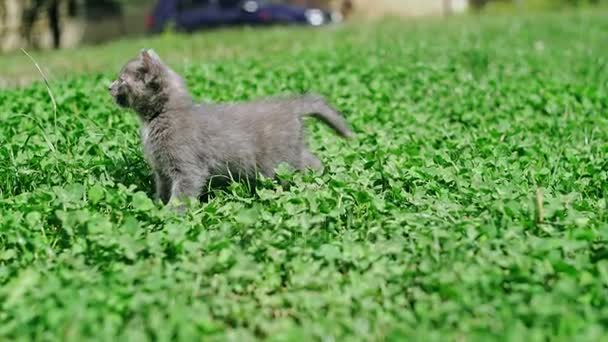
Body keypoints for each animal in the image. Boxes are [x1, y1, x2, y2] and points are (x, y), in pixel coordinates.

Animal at [109, 49, 352, 207]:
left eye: (121, 80)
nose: (108, 87)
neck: (161, 116)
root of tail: (292, 105)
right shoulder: (162, 170)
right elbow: (163, 189)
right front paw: (156, 206)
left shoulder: (186, 167)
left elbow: (182, 194)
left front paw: (170, 216)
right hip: (291, 153)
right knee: (313, 161)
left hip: (279, 162)